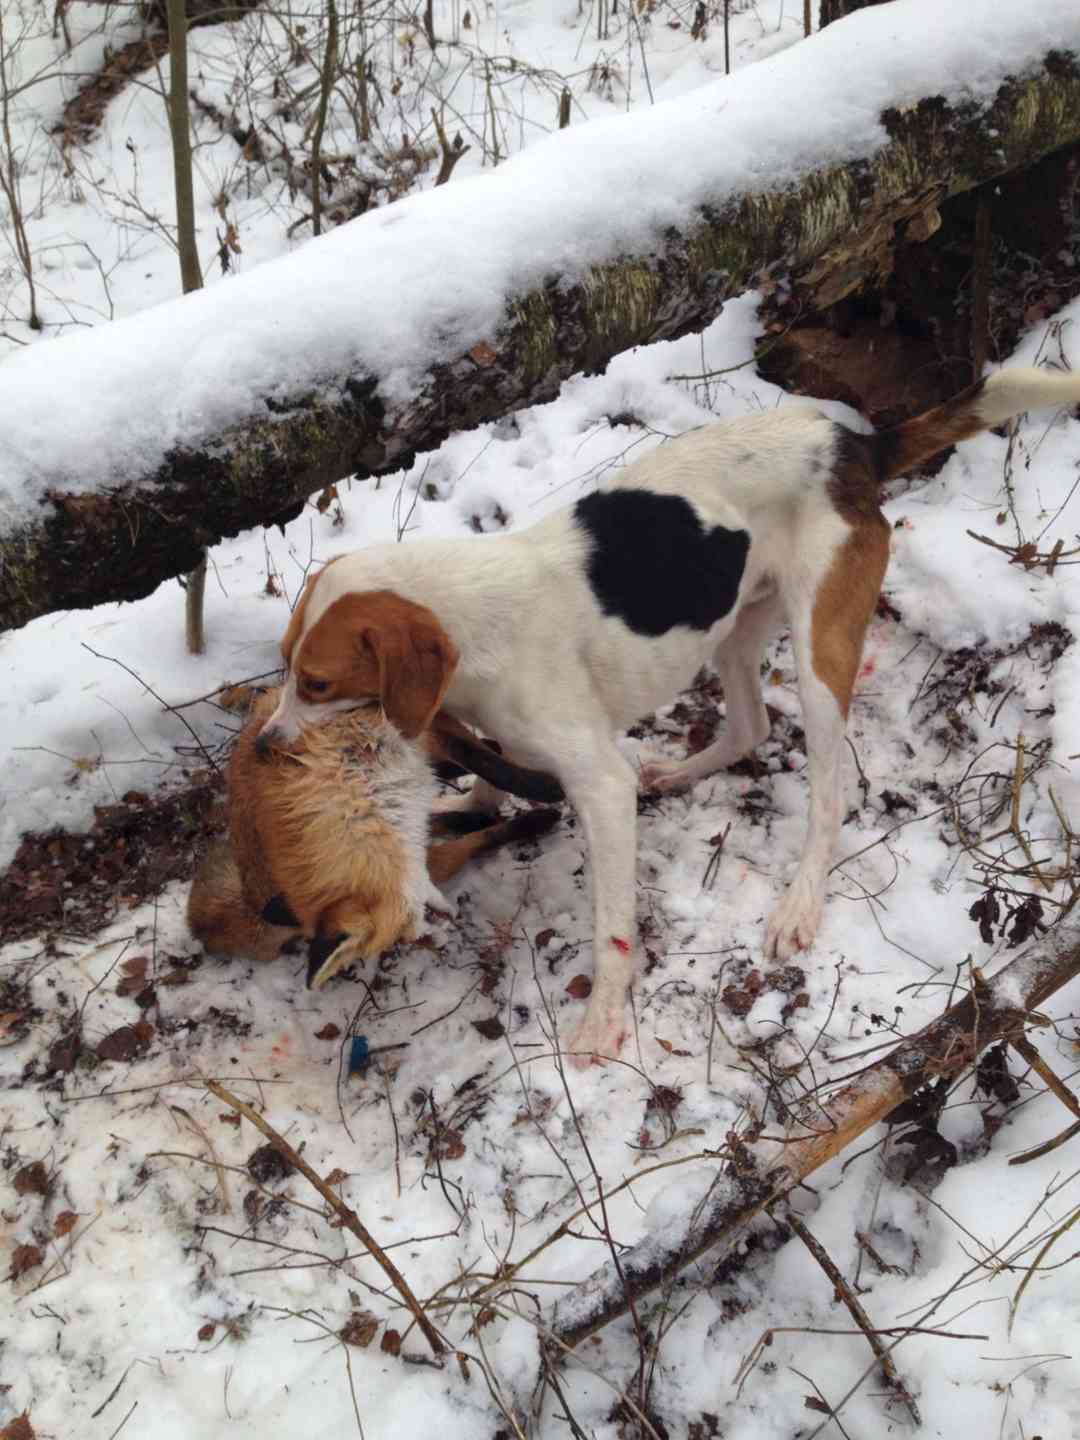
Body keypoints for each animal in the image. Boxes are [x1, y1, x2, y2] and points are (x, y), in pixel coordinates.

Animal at [256, 368, 1080, 1071]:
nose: (264, 746)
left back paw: (799, 903)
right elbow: (491, 775)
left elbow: (610, 930)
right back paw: (676, 772)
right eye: (284, 664)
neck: (470, 616)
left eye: (317, 682)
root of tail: (851, 444)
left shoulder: (598, 788)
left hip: (820, 650)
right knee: (750, 728)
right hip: (736, 627)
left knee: (825, 793)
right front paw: (471, 803)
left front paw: (603, 1021)